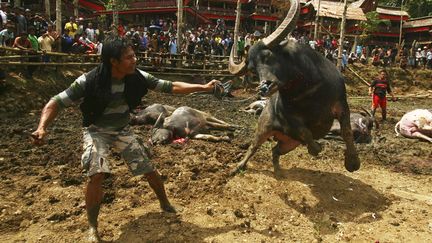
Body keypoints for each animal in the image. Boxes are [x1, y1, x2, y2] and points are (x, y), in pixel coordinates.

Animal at [230, 0, 362, 176]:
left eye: (268, 56)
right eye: (253, 69)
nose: (264, 87)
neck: (306, 89)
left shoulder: (341, 104)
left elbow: (346, 131)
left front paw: (353, 162)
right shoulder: (290, 118)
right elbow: (305, 132)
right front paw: (316, 148)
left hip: (289, 144)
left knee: (275, 150)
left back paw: (278, 172)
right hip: (264, 128)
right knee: (253, 146)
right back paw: (238, 167)